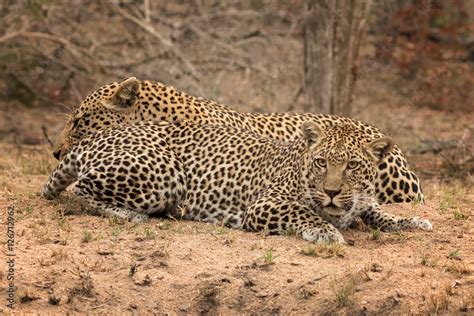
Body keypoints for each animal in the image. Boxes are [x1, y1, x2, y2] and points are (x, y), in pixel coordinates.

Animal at [41, 119, 434, 243]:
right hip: (163, 172)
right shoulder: (264, 206)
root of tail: (93, 138)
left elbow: (380, 213)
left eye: (352, 165)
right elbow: (306, 213)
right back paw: (131, 215)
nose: (332, 192)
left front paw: (413, 222)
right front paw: (326, 232)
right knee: (80, 190)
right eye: (322, 163)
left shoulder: (363, 202)